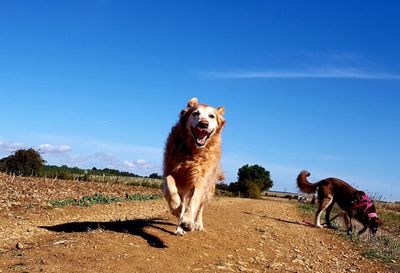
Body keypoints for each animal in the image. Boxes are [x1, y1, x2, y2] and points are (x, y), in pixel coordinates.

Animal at [162, 96, 225, 234]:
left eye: (211, 116)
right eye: (195, 113)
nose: (203, 124)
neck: (192, 151)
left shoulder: (200, 179)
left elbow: (195, 199)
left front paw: (187, 221)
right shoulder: (170, 171)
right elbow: (170, 185)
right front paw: (175, 207)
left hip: (208, 190)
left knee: (200, 207)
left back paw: (197, 224)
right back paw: (179, 226)